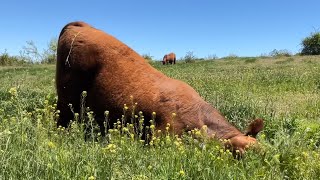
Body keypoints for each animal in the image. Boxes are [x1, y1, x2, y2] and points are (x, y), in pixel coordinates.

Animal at [56, 21, 264, 155]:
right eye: (241, 154)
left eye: (264, 153)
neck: (199, 115)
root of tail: (81, 25)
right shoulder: (161, 134)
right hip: (65, 98)